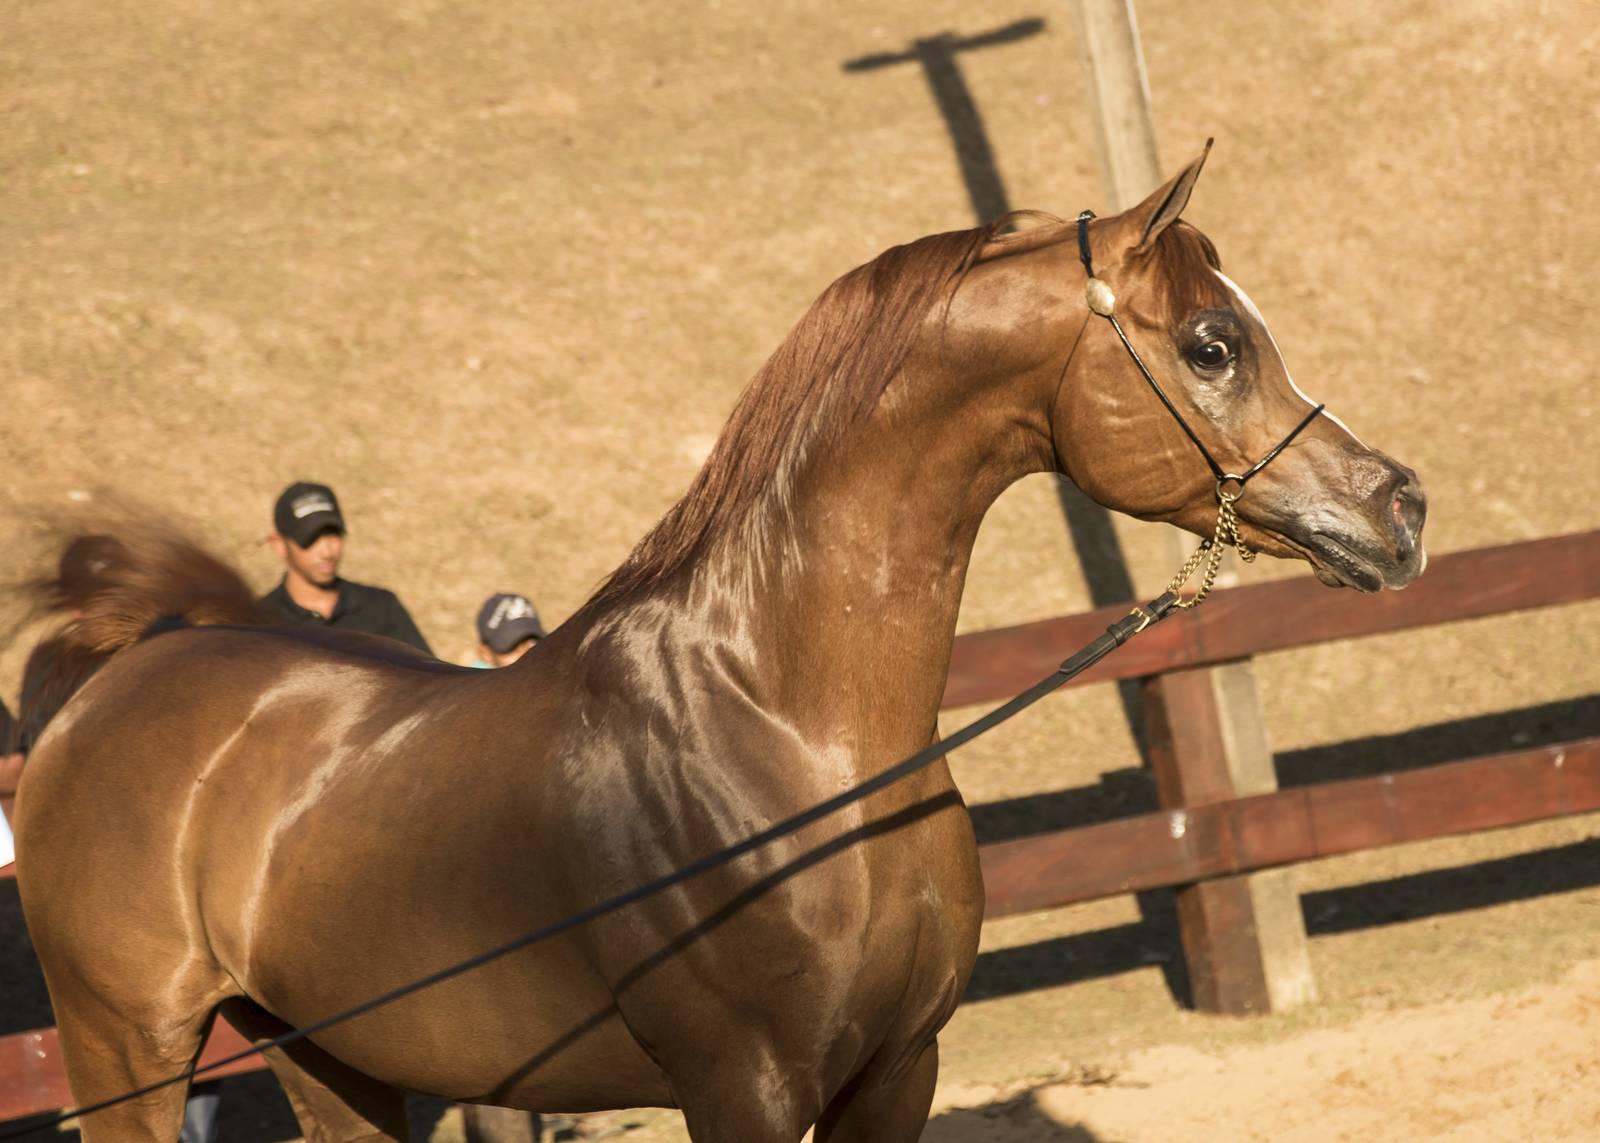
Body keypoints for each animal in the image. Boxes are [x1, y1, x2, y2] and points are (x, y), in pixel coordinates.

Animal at [14, 146, 1426, 1142]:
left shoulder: (893, 1074)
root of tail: (114, 690)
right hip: (127, 1052)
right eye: (1210, 342)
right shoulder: (741, 1087)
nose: (1397, 507)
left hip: (328, 1057)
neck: (787, 731)